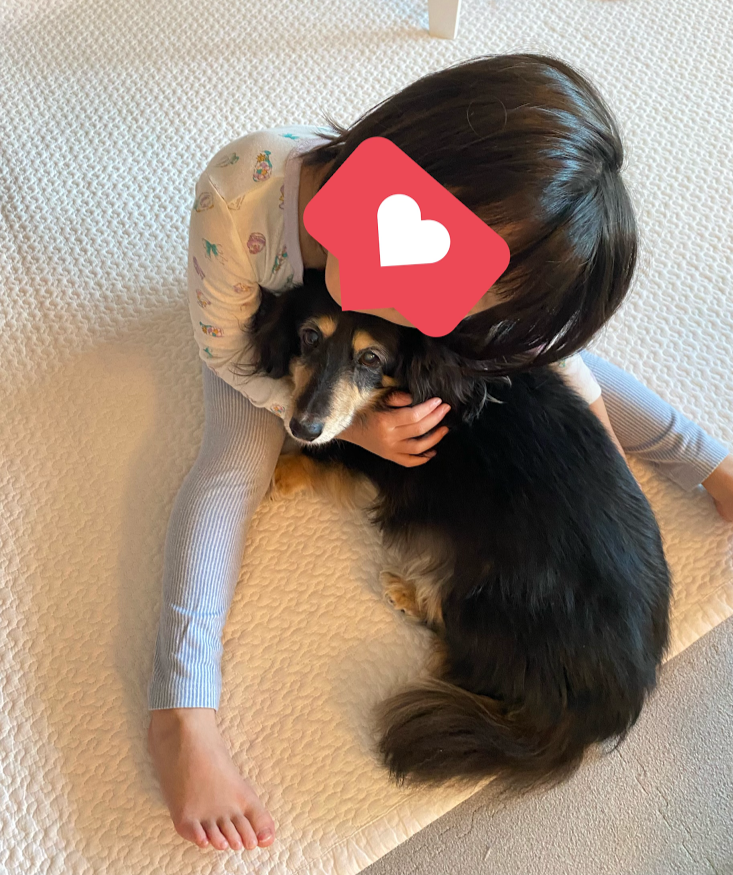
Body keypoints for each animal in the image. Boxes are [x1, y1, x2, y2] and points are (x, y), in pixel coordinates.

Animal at [245, 269, 672, 793]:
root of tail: (609, 705)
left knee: (459, 648)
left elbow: (336, 448)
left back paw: (408, 592)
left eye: (371, 358)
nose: (302, 425)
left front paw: (282, 471)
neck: (432, 374)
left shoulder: (387, 453)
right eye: (309, 336)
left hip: (488, 590)